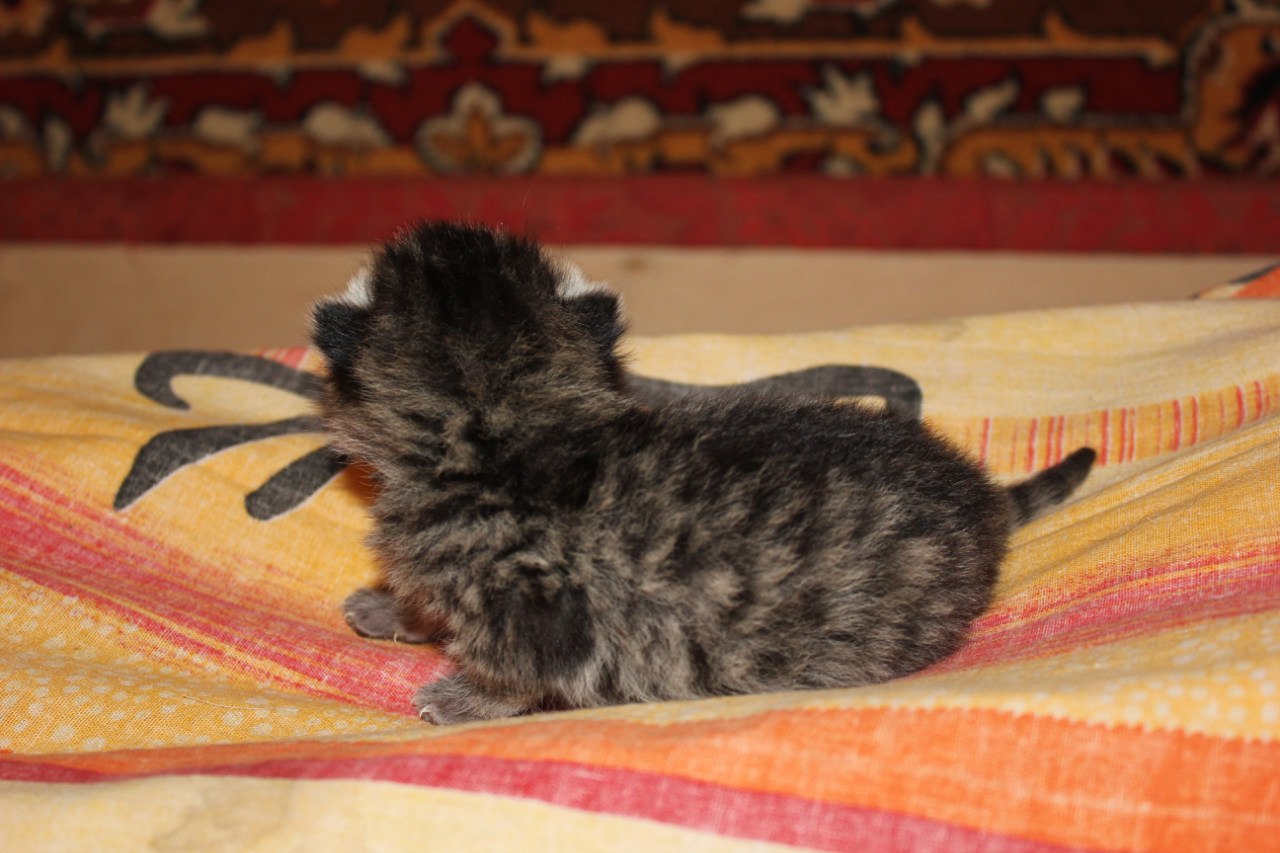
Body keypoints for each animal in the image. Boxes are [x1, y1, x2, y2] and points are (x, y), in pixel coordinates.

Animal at [310, 221, 1096, 725]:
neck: (496, 426)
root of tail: (974, 492)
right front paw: (397, 609)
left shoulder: (533, 603)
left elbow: (517, 668)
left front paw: (460, 697)